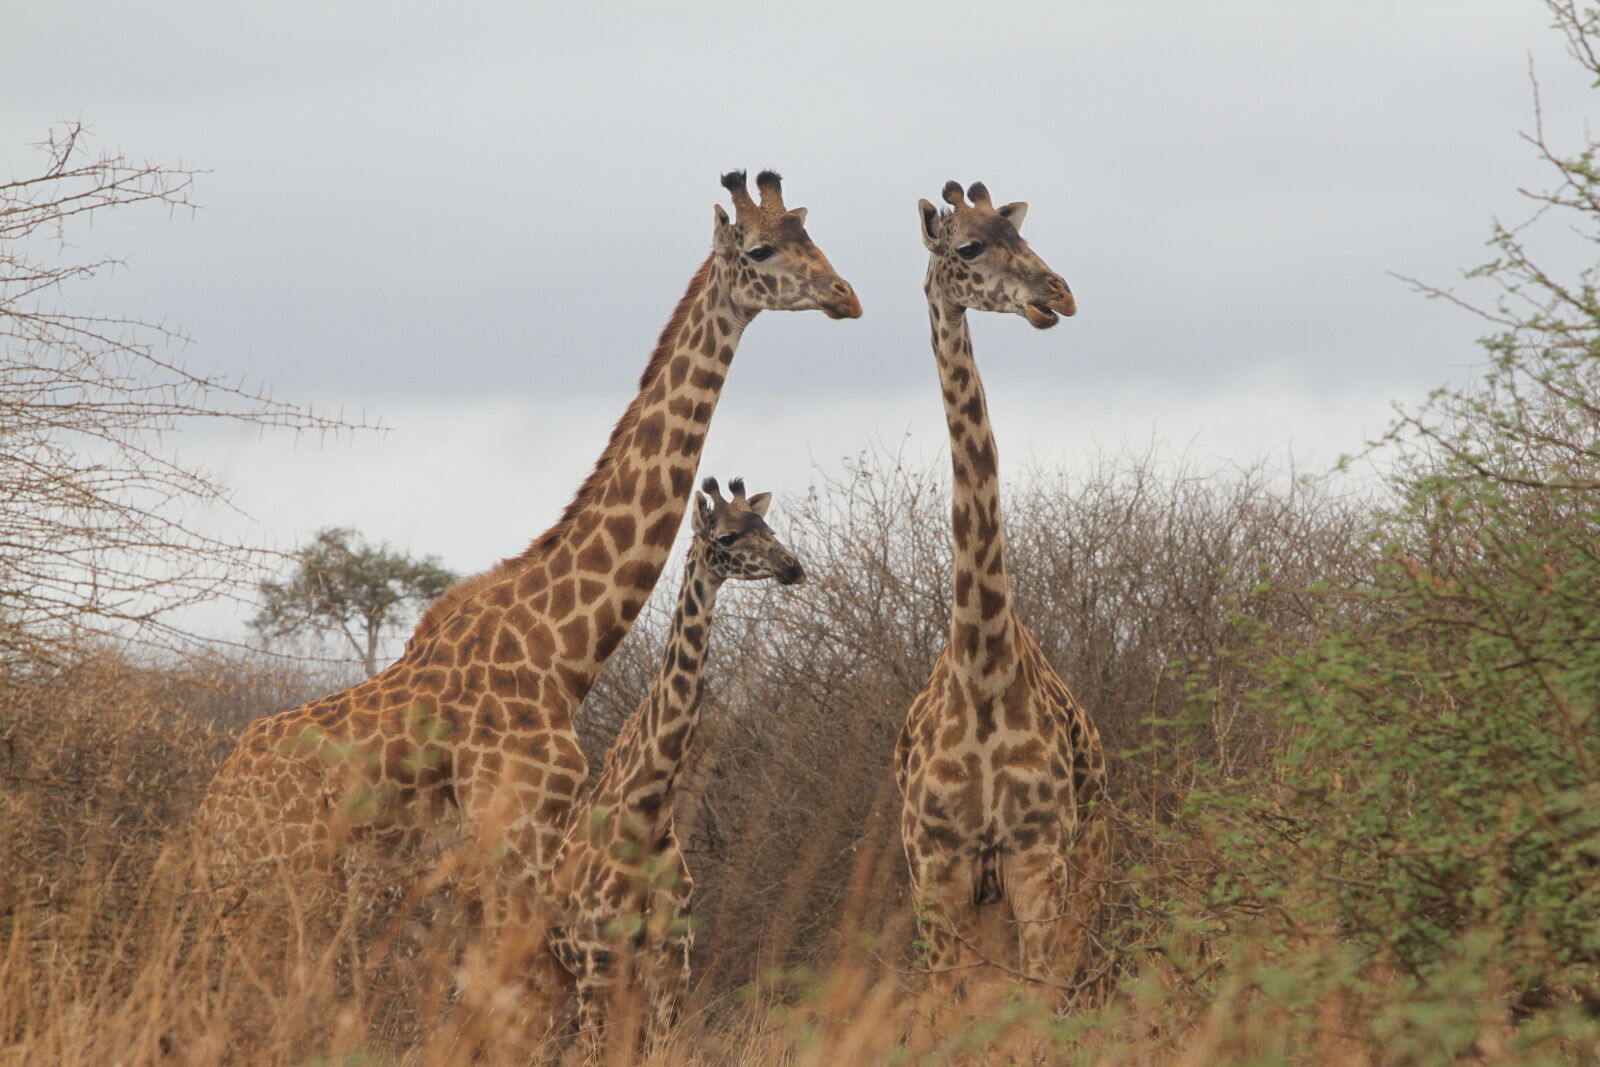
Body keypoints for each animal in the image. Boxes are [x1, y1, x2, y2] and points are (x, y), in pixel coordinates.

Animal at [198, 168, 857, 959]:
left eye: (810, 235)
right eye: (760, 250)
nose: (847, 295)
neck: (561, 650)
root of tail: (208, 815)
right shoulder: (519, 840)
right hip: (273, 894)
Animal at [547, 479, 800, 1055]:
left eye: (769, 528)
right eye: (727, 536)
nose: (792, 567)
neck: (648, 812)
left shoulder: (672, 959)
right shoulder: (598, 962)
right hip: (565, 974)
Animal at [896, 179, 1107, 1004]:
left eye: (1019, 234)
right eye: (969, 246)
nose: (1060, 293)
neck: (982, 671)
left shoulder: (1037, 858)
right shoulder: (939, 870)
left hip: (1089, 865)